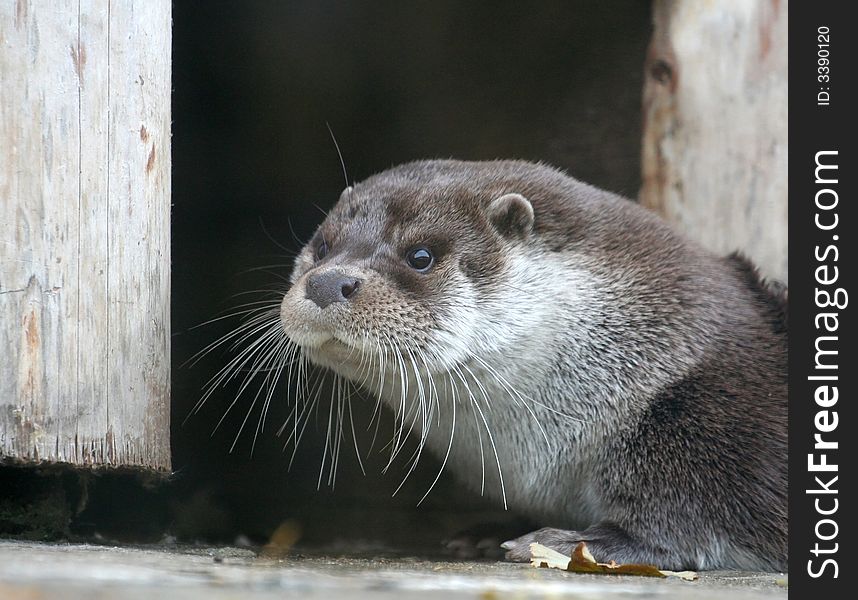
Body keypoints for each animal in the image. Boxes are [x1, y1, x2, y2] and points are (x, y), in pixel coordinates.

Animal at [276, 159, 788, 572]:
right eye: (322, 247)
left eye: (420, 256)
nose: (326, 282)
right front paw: (488, 532)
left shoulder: (705, 426)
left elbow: (685, 521)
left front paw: (569, 544)